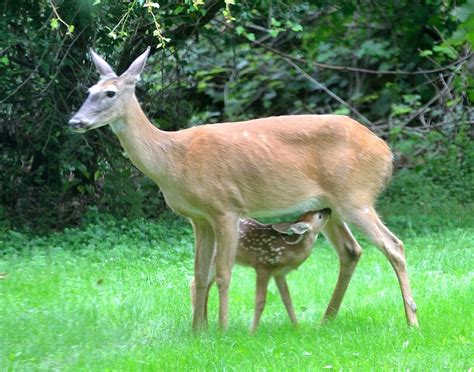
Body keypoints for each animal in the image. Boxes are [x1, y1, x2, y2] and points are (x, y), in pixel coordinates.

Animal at [67, 46, 418, 328]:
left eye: (110, 94)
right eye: (89, 89)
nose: (75, 122)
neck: (174, 160)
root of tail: (386, 152)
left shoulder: (225, 207)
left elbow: (223, 273)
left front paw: (221, 330)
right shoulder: (198, 218)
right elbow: (200, 274)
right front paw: (198, 330)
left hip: (355, 196)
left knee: (394, 246)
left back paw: (411, 320)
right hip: (329, 205)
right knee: (351, 250)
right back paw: (326, 320)